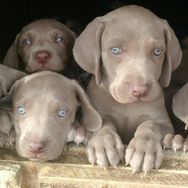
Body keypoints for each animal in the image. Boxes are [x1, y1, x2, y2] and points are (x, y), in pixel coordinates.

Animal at [72, 4, 181, 173]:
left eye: (158, 51)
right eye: (115, 50)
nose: (140, 90)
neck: (127, 106)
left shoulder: (163, 122)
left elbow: (150, 125)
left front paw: (144, 149)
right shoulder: (94, 116)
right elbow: (103, 123)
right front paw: (104, 144)